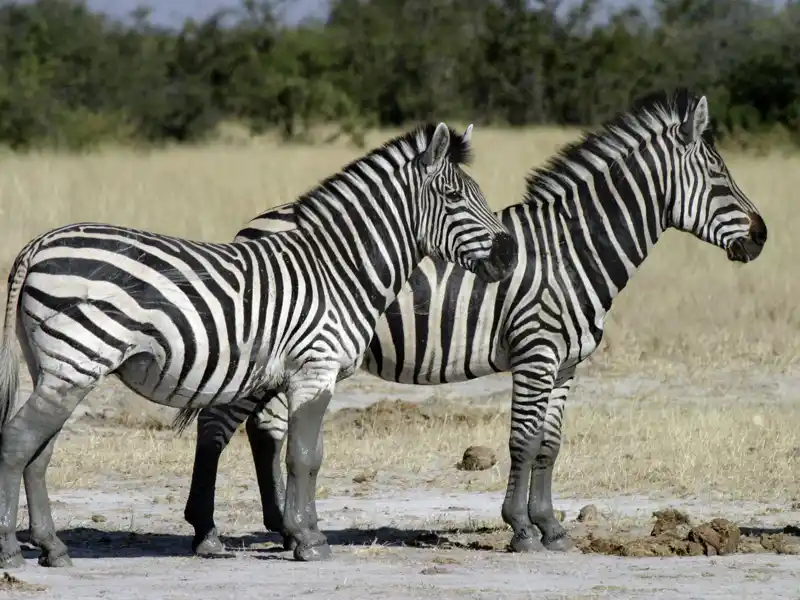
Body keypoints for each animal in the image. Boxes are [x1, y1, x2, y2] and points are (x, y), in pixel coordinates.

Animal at [0, 122, 520, 568]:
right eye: (453, 196)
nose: (510, 255)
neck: (340, 269)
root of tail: (39, 243)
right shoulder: (316, 368)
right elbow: (304, 456)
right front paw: (309, 542)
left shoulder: (302, 374)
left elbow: (306, 454)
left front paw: (302, 532)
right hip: (77, 359)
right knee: (17, 440)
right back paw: (11, 551)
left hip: (58, 367)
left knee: (39, 450)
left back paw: (53, 548)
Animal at [183, 89, 768, 556]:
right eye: (719, 176)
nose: (762, 237)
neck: (571, 251)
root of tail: (253, 226)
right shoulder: (536, 354)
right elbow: (523, 442)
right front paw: (522, 530)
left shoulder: (566, 365)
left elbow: (550, 446)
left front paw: (552, 527)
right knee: (217, 425)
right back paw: (208, 532)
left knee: (263, 430)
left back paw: (283, 527)